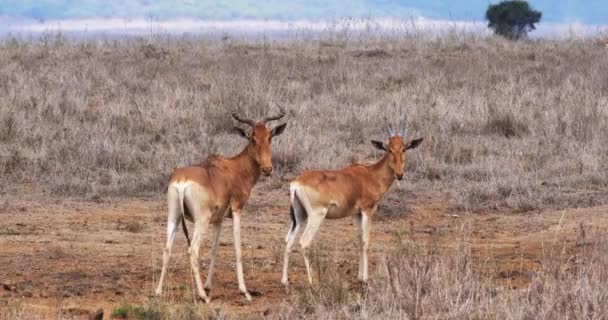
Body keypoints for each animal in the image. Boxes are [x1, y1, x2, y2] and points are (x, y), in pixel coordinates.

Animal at [157, 109, 290, 302]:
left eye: (269, 136)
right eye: (252, 138)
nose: (267, 169)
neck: (234, 168)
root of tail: (182, 180)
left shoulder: (218, 220)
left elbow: (214, 249)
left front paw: (209, 286)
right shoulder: (236, 210)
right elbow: (237, 248)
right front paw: (245, 291)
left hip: (174, 217)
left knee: (167, 249)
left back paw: (159, 291)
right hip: (201, 221)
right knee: (193, 250)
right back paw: (203, 296)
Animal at [282, 126, 420, 286]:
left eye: (403, 149)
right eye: (389, 149)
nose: (400, 174)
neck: (370, 174)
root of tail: (296, 182)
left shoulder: (357, 213)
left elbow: (360, 240)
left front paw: (359, 277)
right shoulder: (367, 210)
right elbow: (366, 240)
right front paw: (365, 279)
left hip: (299, 216)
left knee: (289, 240)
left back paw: (284, 281)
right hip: (316, 215)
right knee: (304, 242)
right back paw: (312, 282)